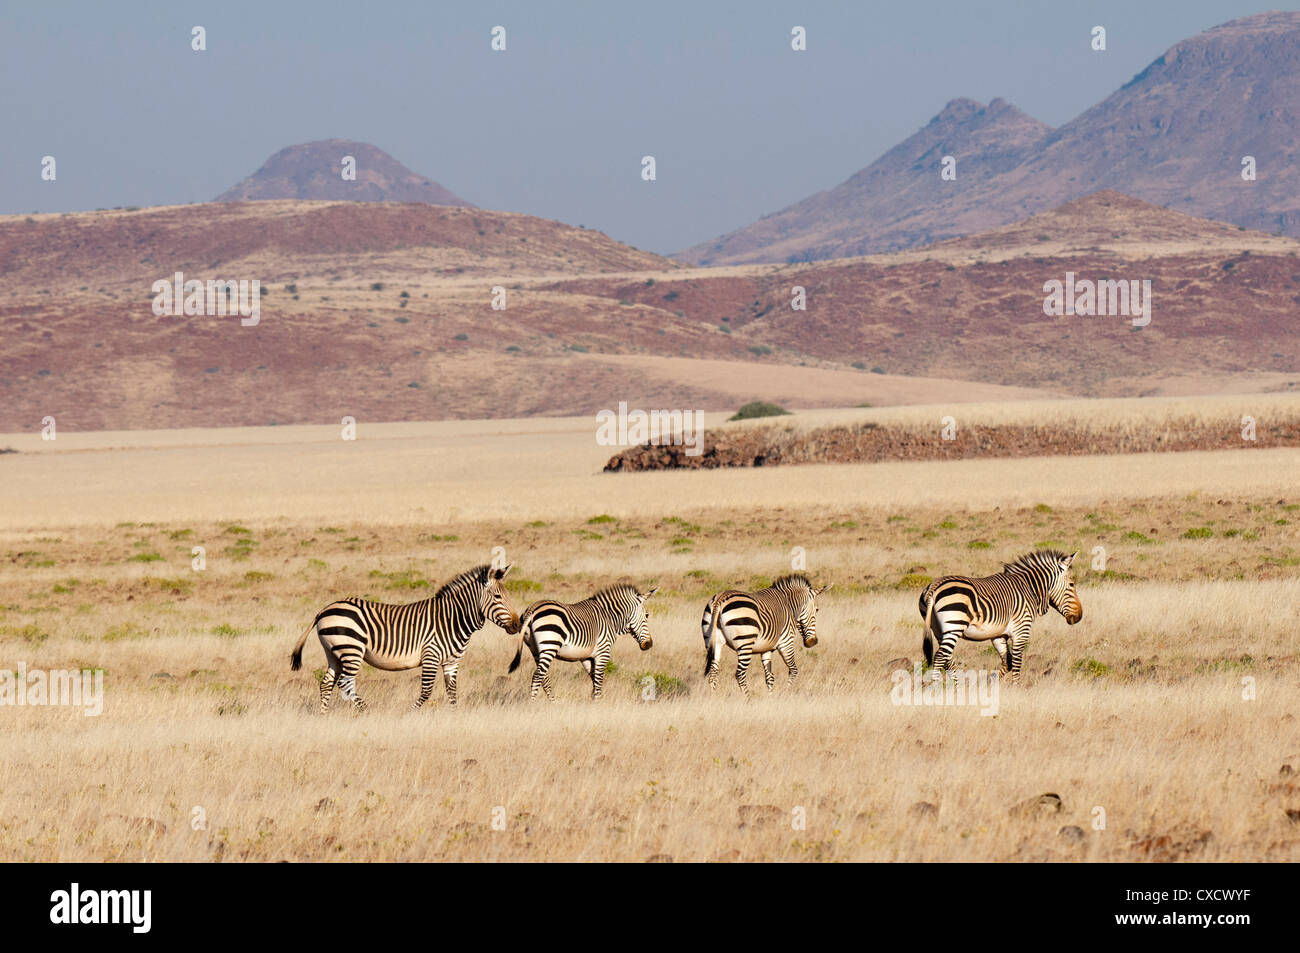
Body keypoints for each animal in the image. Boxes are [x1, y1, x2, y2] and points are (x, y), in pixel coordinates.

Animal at [292, 561, 520, 712]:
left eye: (508, 596)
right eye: (497, 597)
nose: (518, 624)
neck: (453, 619)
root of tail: (324, 610)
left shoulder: (451, 662)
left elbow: (452, 692)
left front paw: (455, 716)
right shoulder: (431, 655)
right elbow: (426, 692)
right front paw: (410, 714)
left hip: (334, 653)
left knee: (326, 683)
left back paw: (324, 715)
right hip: (351, 649)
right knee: (344, 683)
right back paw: (366, 710)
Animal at [504, 579, 655, 696]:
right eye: (647, 615)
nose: (649, 644)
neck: (610, 618)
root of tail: (532, 609)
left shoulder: (586, 657)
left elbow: (594, 682)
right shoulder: (603, 652)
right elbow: (598, 683)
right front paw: (598, 706)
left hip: (535, 648)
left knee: (544, 679)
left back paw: (552, 703)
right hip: (549, 645)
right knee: (537, 677)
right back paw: (534, 704)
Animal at [920, 546, 1081, 681]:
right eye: (1072, 585)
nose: (1079, 616)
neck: (1029, 588)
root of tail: (933, 587)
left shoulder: (998, 635)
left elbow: (1007, 663)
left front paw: (987, 685)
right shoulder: (1021, 631)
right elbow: (1016, 664)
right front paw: (1017, 690)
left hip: (938, 630)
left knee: (948, 660)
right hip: (954, 626)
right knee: (940, 656)